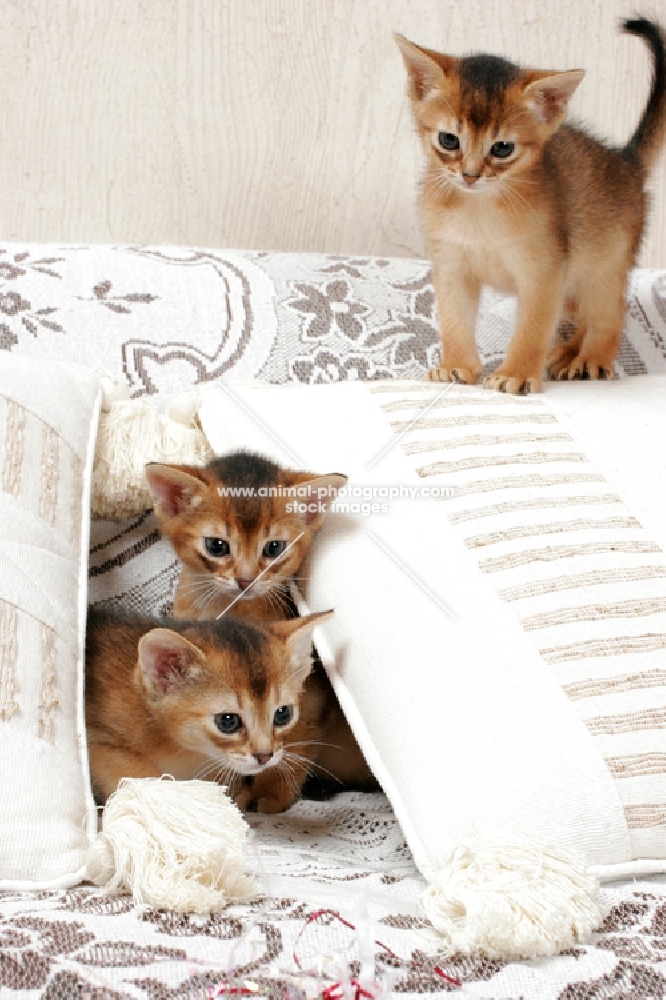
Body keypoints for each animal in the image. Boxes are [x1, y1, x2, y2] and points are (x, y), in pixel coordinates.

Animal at [85, 608, 376, 812]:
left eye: (282, 714)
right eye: (228, 721)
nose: (264, 756)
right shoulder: (97, 740)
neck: (181, 749)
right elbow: (137, 774)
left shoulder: (313, 706)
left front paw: (264, 792)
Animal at [394, 18, 664, 394]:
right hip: (576, 279)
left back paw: (591, 360)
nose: (470, 175)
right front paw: (456, 366)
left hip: (604, 266)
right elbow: (453, 320)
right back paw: (567, 352)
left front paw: (517, 374)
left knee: (611, 313)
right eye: (449, 140)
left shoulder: (544, 272)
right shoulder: (451, 265)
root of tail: (625, 161)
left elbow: (532, 330)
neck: (479, 208)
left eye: (502, 148)